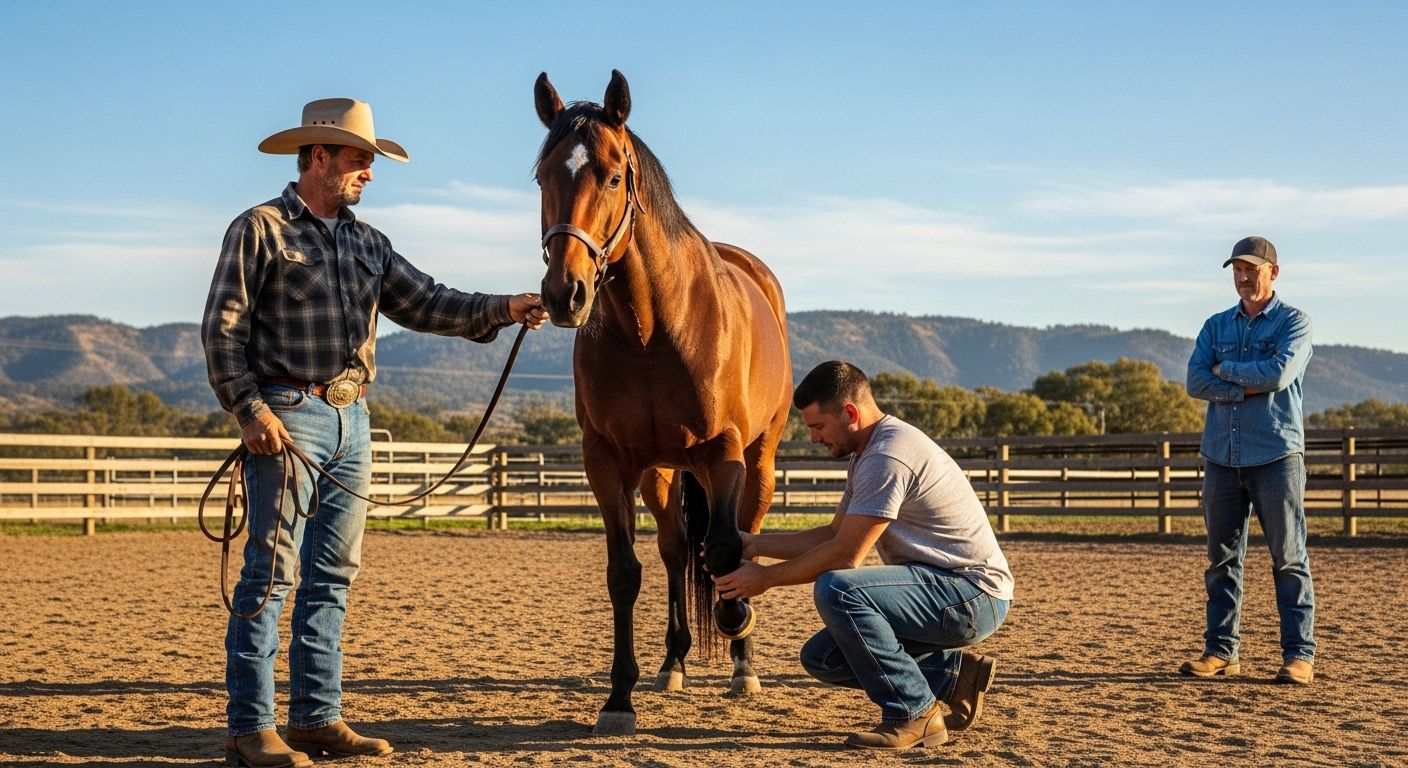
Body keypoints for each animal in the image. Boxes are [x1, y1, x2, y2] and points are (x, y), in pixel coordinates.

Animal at [533, 70, 792, 736]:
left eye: (612, 176)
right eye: (543, 178)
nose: (565, 294)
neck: (651, 330)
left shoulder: (722, 451)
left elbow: (726, 550)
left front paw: (734, 621)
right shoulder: (607, 461)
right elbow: (626, 573)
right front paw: (618, 697)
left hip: (758, 459)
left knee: (742, 535)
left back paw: (741, 662)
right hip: (661, 471)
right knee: (676, 549)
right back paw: (673, 661)